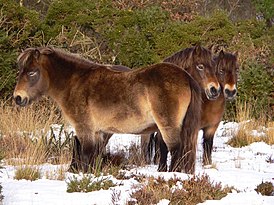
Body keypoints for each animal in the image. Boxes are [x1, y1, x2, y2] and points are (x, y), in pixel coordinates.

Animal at [13, 47, 201, 174]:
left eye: (32, 72)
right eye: (21, 70)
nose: (18, 98)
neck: (74, 83)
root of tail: (185, 77)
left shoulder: (85, 129)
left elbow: (86, 154)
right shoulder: (98, 132)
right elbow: (95, 156)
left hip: (168, 127)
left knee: (176, 150)